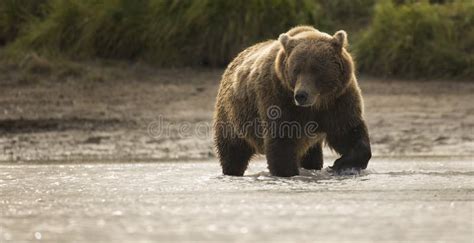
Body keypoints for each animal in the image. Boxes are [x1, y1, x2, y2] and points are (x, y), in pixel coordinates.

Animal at [213, 25, 372, 177]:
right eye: (296, 70)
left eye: (316, 69)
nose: (301, 95)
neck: (316, 104)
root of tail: (233, 61)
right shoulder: (278, 98)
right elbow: (282, 142)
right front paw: (288, 173)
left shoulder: (338, 100)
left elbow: (348, 131)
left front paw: (340, 164)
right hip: (232, 116)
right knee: (233, 152)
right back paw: (232, 171)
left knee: (312, 155)